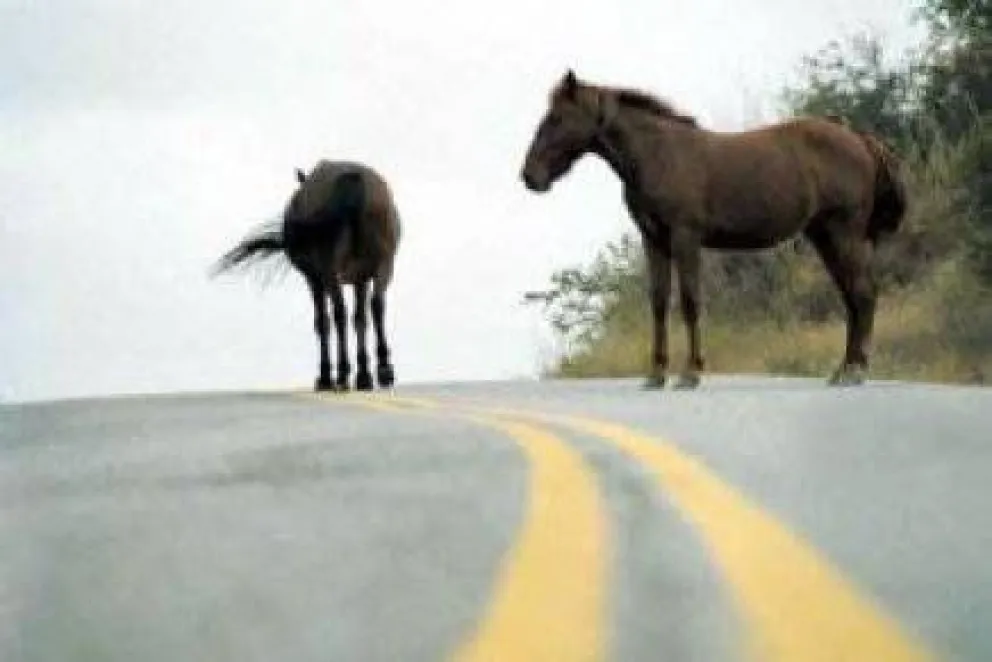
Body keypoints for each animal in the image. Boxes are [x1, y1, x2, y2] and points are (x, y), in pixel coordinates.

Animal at [213, 160, 401, 392]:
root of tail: (353, 179)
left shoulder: (314, 280)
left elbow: (322, 322)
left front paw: (326, 376)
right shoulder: (361, 278)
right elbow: (360, 319)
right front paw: (364, 374)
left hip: (330, 272)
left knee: (338, 313)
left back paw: (341, 373)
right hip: (384, 264)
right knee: (376, 305)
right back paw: (383, 370)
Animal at [520, 69, 908, 389]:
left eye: (556, 117)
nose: (530, 176)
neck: (659, 154)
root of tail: (859, 139)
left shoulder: (685, 238)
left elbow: (690, 301)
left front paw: (691, 372)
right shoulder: (654, 240)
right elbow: (658, 302)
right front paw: (656, 374)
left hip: (844, 234)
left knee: (862, 294)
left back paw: (854, 370)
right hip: (825, 236)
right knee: (852, 296)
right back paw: (844, 368)